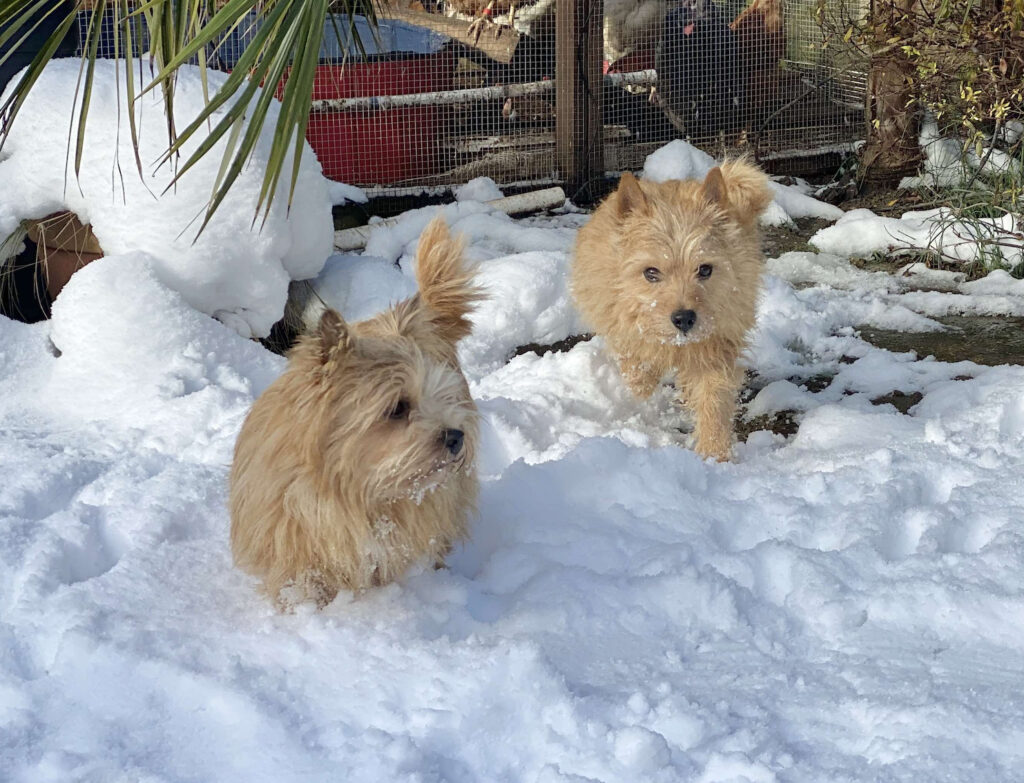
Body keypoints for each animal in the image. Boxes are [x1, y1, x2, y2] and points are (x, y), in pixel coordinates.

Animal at [573, 160, 770, 460]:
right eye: (651, 272)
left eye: (705, 269)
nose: (684, 318)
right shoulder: (623, 326)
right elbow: (637, 366)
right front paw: (642, 393)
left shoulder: (716, 347)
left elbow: (713, 399)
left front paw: (714, 453)